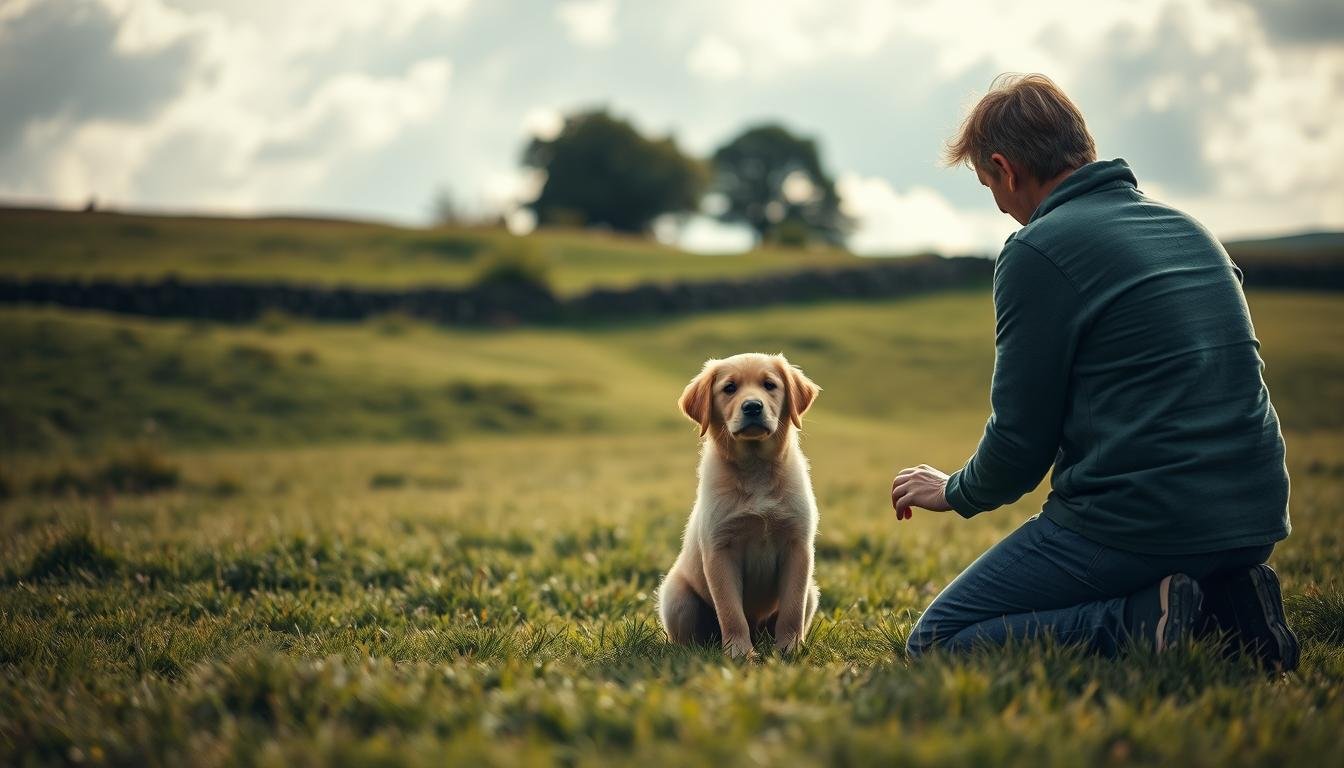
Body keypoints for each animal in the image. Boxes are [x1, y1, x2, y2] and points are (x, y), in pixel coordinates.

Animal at [658, 352, 822, 659]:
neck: (755, 467)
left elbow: (791, 610)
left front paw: (790, 648)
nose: (753, 406)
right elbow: (731, 612)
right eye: (729, 388)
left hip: (812, 593)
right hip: (675, 597)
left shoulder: (798, 547)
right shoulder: (720, 550)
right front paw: (739, 654)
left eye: (770, 385)